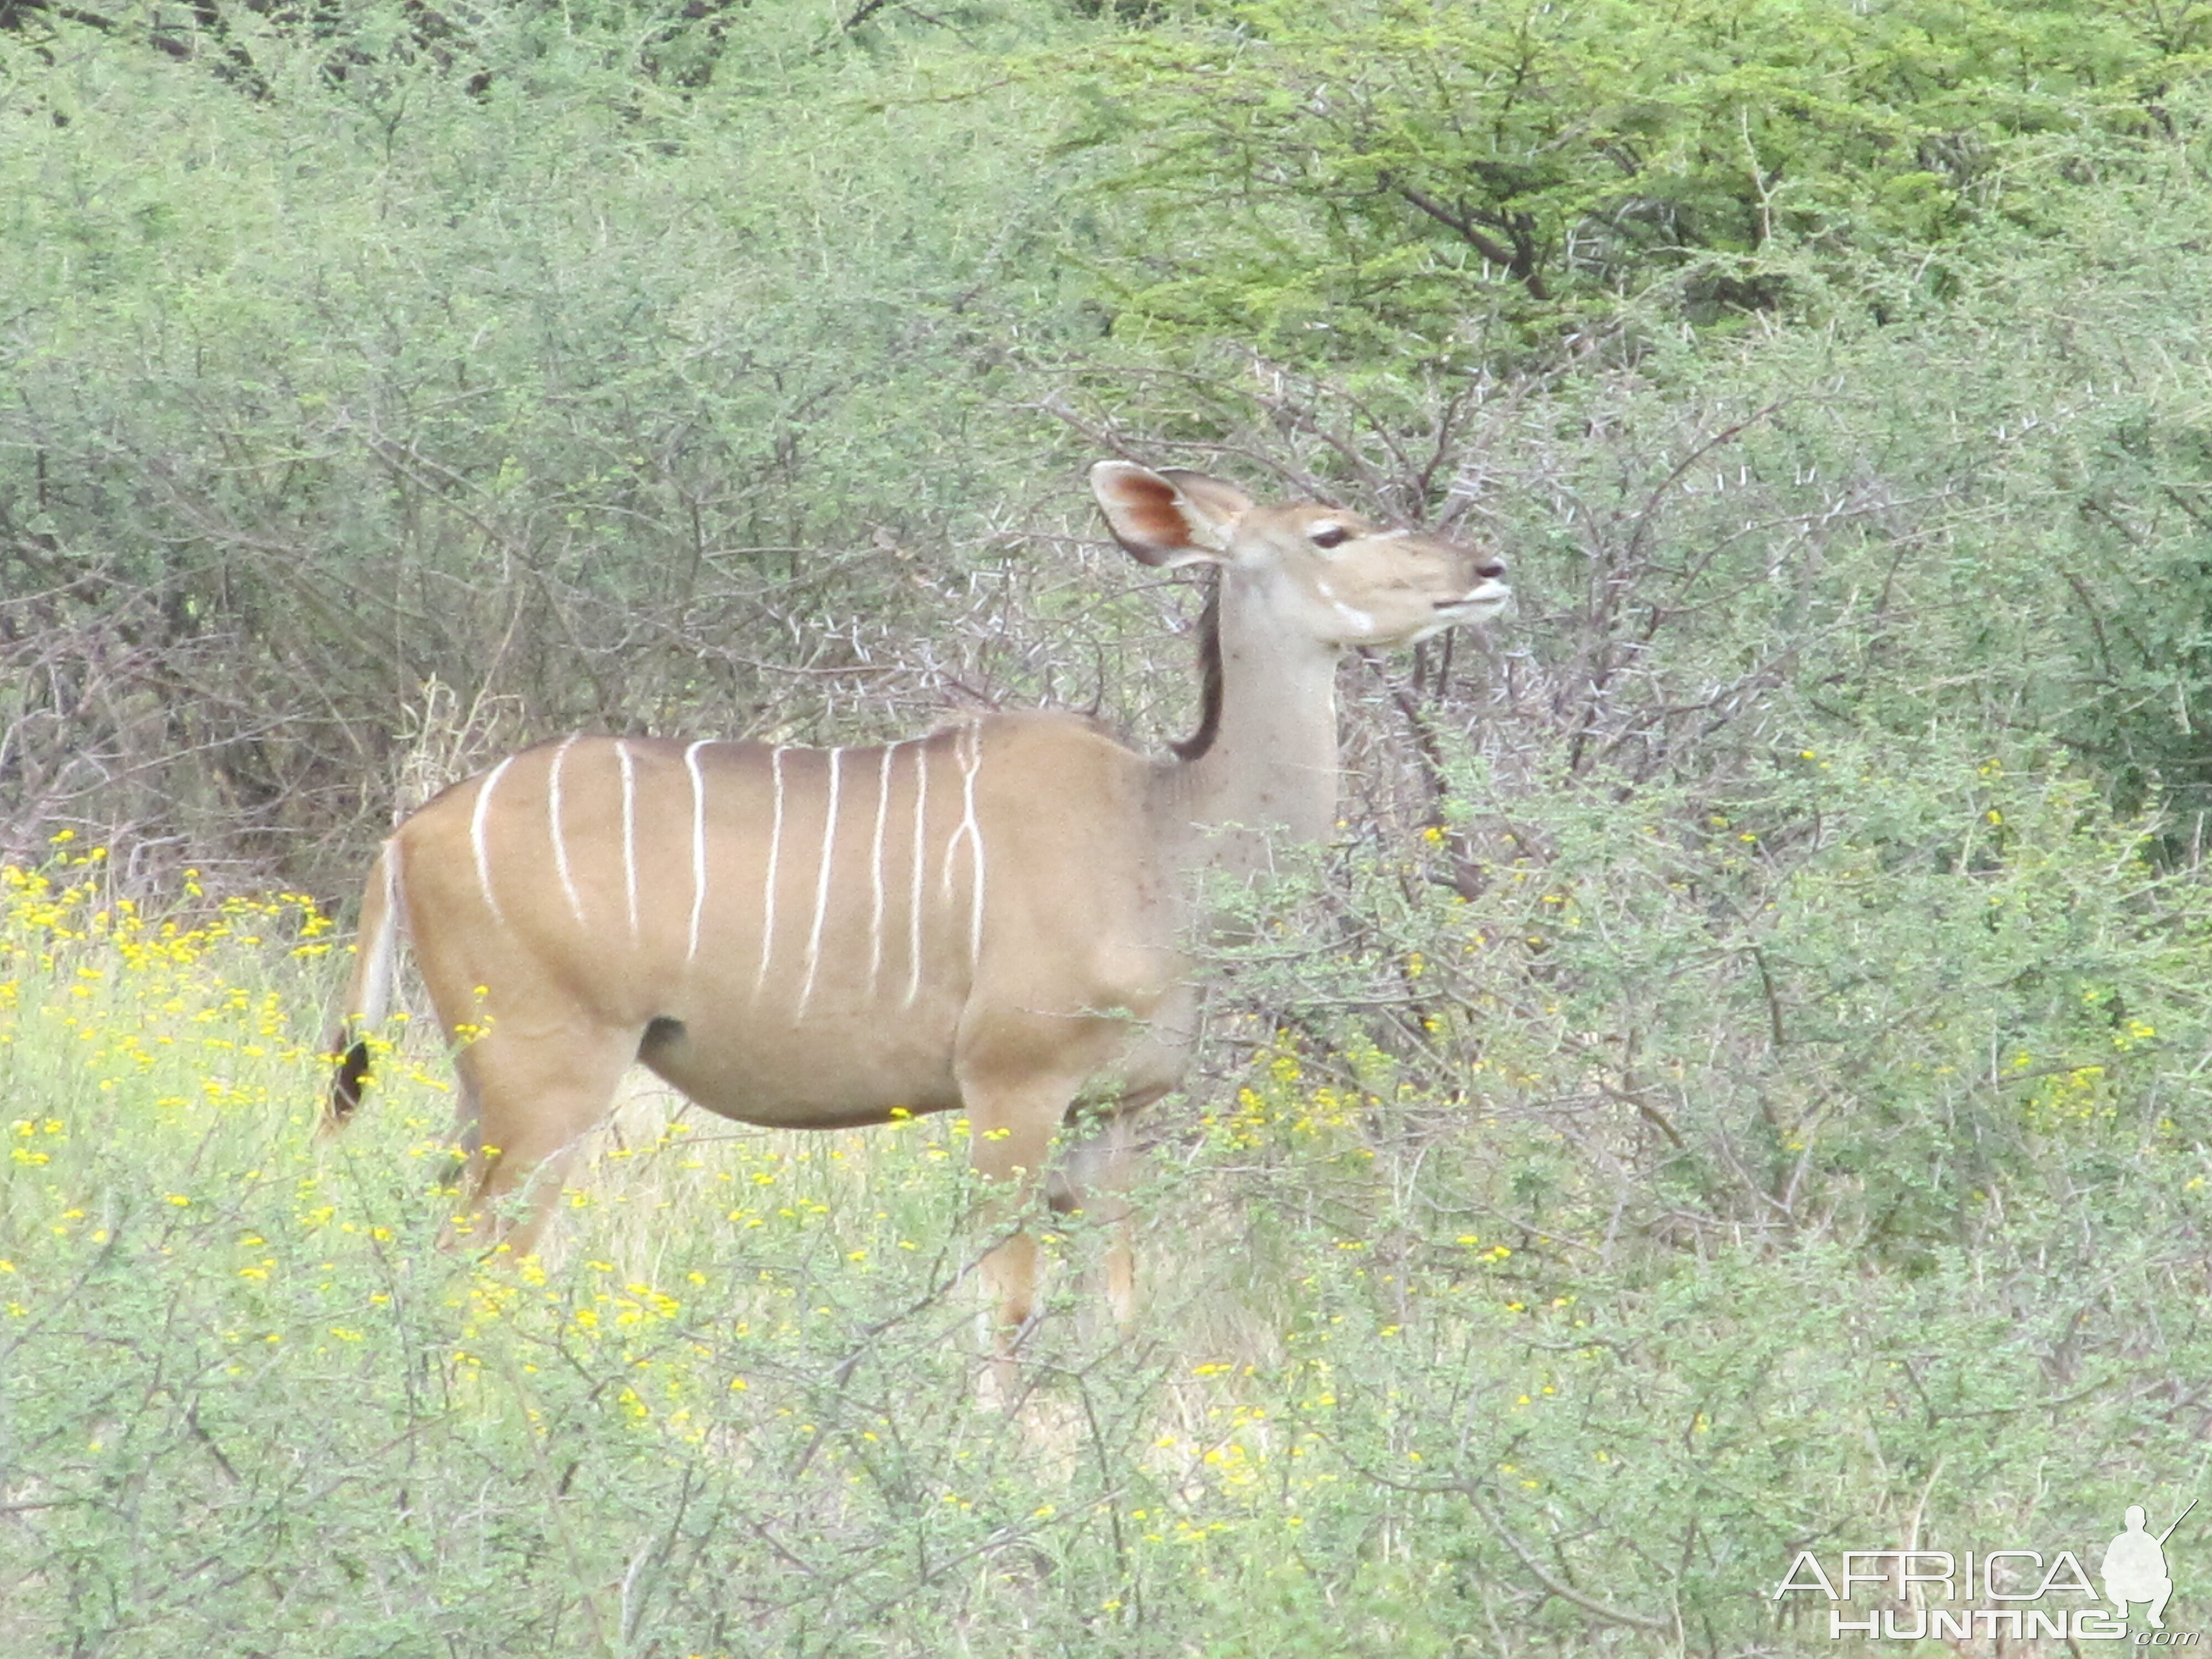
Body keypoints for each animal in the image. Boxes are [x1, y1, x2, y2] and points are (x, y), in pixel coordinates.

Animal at [323, 462, 1504, 1371]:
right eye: (1331, 533)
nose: (1487, 571)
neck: (1161, 835)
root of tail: (410, 836)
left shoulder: (1113, 1115)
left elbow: (1117, 1310)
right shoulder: (1011, 1091)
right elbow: (1011, 1304)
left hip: (482, 1092)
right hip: (550, 1085)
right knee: (484, 1264)